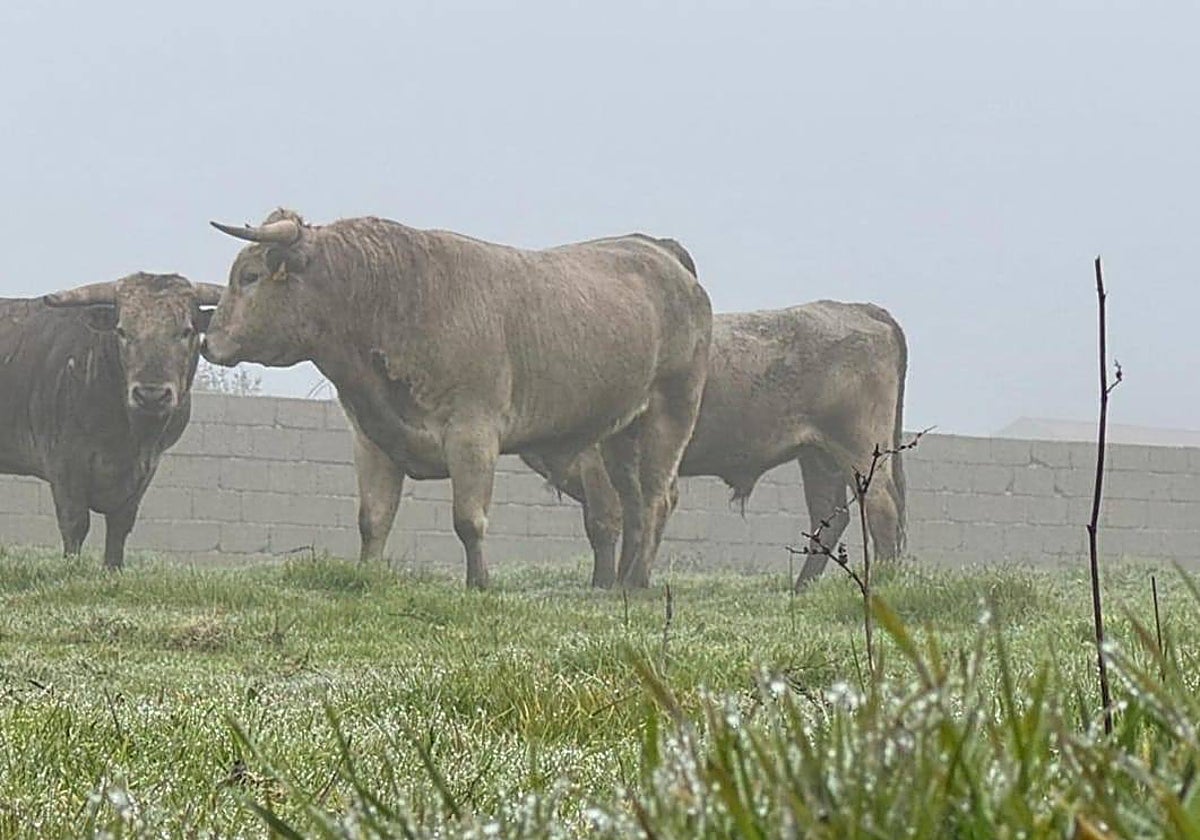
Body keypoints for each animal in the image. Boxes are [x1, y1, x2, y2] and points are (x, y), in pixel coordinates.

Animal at [0, 273, 224, 568]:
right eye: (122, 331)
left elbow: (119, 527)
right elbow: (75, 524)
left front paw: (112, 569)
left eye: (186, 331)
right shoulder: (65, 463)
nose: (151, 395)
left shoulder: (145, 469)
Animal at [202, 209, 712, 590]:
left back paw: (636, 580)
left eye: (250, 275)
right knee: (631, 502)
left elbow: (468, 519)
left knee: (656, 498)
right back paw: (616, 581)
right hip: (619, 433)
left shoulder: (472, 433)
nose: (209, 342)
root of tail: (660, 251)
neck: (397, 297)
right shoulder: (371, 438)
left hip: (672, 412)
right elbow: (373, 519)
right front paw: (368, 576)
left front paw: (479, 584)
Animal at [523, 301, 908, 589]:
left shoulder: (596, 466)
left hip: (858, 447)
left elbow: (604, 523)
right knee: (830, 516)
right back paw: (802, 587)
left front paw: (602, 584)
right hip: (818, 456)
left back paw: (883, 579)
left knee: (881, 507)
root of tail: (857, 308)